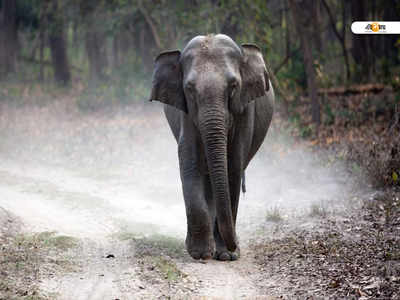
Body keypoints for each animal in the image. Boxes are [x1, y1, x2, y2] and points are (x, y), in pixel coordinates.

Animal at [148, 34, 274, 260]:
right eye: (189, 88)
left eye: (233, 86)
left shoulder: (244, 111)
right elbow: (190, 163)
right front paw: (200, 254)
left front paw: (226, 256)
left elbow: (233, 167)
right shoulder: (187, 113)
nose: (235, 246)